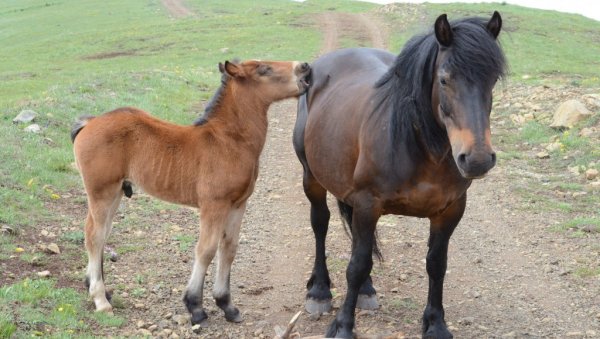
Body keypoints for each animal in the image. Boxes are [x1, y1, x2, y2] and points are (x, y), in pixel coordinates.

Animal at [72, 59, 312, 326]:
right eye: (264, 69)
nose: (304, 66)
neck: (229, 141)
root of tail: (89, 122)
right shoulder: (214, 205)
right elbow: (206, 250)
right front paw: (195, 306)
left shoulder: (238, 204)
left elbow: (229, 249)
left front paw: (227, 305)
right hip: (101, 192)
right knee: (94, 236)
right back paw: (100, 299)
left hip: (114, 194)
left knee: (102, 234)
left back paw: (102, 291)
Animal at [294, 12, 506, 338]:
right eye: (444, 79)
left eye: (492, 80)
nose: (477, 159)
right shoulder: (368, 203)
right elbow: (356, 264)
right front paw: (343, 325)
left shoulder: (451, 210)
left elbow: (436, 264)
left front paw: (436, 324)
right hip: (313, 179)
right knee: (321, 224)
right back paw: (319, 291)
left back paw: (366, 290)